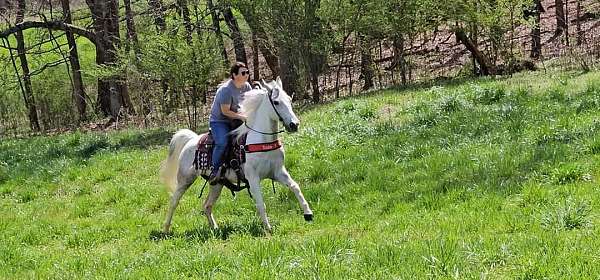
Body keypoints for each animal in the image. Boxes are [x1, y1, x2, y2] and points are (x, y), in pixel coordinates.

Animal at [159, 77, 314, 233]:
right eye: (276, 102)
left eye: (289, 99)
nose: (294, 124)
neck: (262, 139)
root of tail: (191, 140)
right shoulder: (253, 178)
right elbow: (261, 203)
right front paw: (268, 229)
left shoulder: (278, 172)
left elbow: (295, 187)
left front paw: (308, 213)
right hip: (185, 179)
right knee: (174, 201)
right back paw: (166, 229)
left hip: (217, 184)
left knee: (207, 205)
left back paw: (215, 228)